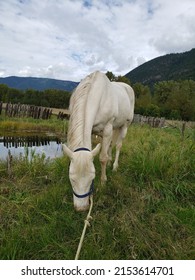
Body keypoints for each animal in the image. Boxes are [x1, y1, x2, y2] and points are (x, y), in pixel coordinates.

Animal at [63, 71, 135, 211]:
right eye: (72, 179)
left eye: (92, 178)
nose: (81, 208)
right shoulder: (93, 131)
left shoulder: (107, 129)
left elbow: (102, 158)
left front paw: (103, 181)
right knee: (110, 145)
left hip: (124, 125)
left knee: (118, 145)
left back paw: (114, 166)